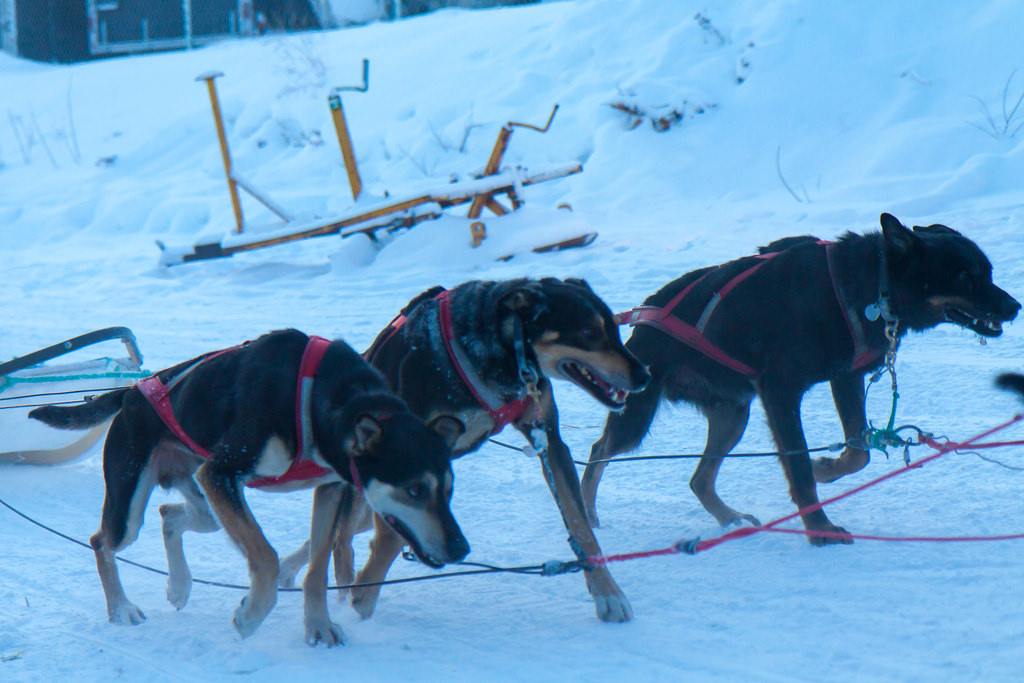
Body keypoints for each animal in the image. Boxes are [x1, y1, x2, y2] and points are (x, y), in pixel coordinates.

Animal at [29, 331, 466, 647]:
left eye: (448, 489)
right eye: (414, 489)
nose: (461, 548)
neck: (319, 398)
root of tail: (133, 392)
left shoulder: (327, 490)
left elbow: (317, 568)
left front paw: (318, 626)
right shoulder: (222, 472)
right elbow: (267, 557)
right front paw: (251, 614)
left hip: (205, 503)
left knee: (169, 516)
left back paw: (179, 586)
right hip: (136, 508)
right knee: (102, 542)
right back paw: (121, 609)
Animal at [280, 278, 647, 626]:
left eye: (615, 330)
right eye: (589, 333)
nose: (644, 375)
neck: (494, 353)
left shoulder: (549, 441)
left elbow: (581, 528)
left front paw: (609, 594)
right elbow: (391, 535)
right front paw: (365, 591)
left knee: (341, 532)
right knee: (341, 535)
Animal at [581, 214, 1019, 544]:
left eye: (988, 272)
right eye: (963, 277)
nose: (1015, 306)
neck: (866, 289)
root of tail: (639, 322)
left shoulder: (845, 379)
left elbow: (858, 452)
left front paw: (826, 466)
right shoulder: (780, 392)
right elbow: (799, 468)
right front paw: (819, 529)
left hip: (732, 416)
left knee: (699, 479)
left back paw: (730, 519)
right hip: (640, 413)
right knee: (598, 450)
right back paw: (586, 514)